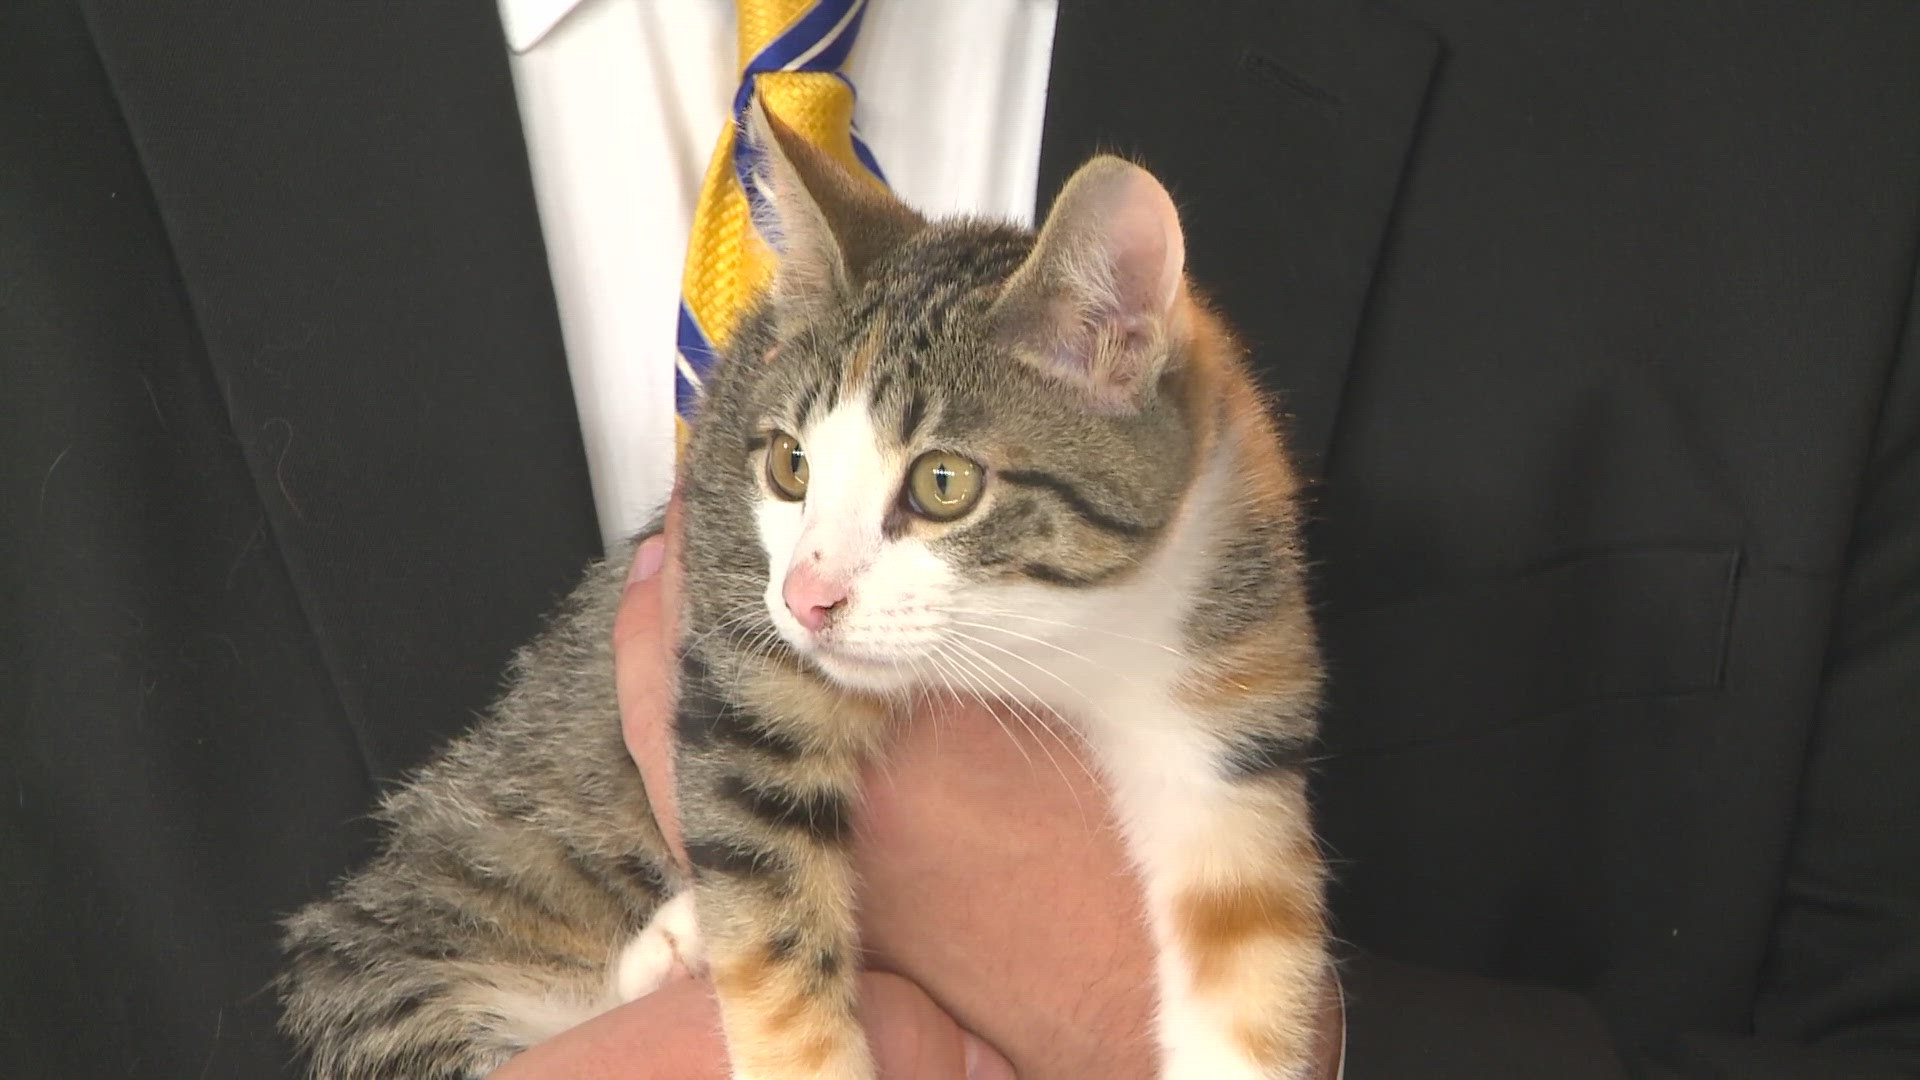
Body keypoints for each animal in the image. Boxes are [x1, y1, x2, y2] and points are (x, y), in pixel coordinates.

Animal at [284, 107, 1328, 1076]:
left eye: (943, 483)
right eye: (791, 466)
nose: (807, 598)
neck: (1058, 640)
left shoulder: (1223, 651)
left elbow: (1246, 920)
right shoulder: (740, 626)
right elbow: (764, 876)